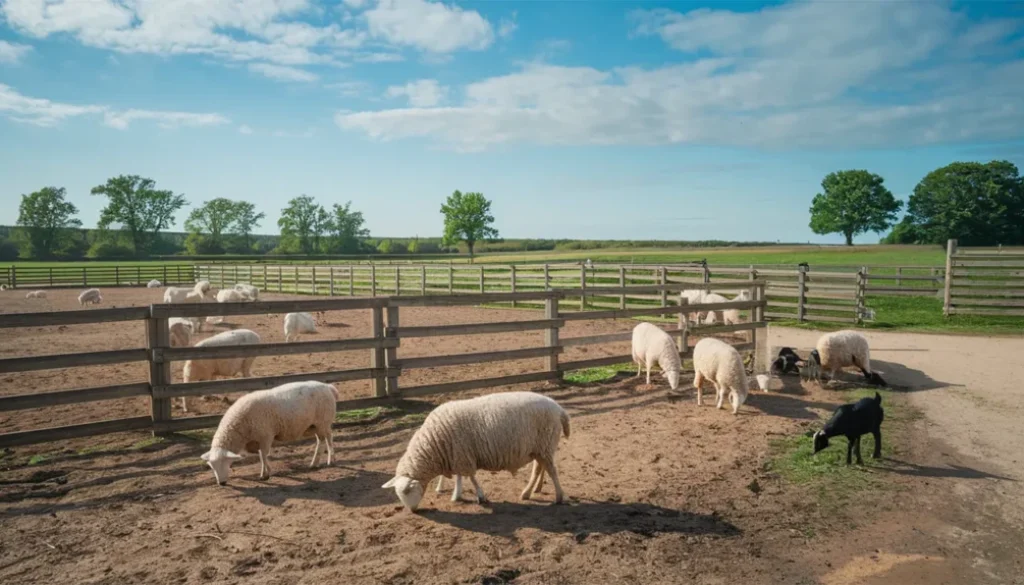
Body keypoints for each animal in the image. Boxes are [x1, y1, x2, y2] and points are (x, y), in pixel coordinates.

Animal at [199, 379, 339, 485]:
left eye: (226, 462)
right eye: (211, 466)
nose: (221, 483)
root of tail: (328, 387)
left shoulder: (265, 436)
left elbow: (264, 455)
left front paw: (266, 474)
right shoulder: (257, 439)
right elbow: (262, 455)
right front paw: (265, 472)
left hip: (323, 421)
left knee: (327, 440)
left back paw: (326, 461)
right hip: (315, 425)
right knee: (323, 440)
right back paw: (319, 462)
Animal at [385, 393, 573, 512]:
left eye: (406, 492)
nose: (412, 511)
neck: (434, 444)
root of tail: (559, 409)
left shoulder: (463, 455)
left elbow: (471, 477)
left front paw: (480, 496)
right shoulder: (459, 454)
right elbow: (461, 477)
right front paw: (457, 494)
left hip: (545, 444)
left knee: (552, 470)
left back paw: (558, 497)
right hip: (539, 447)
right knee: (539, 468)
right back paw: (528, 492)